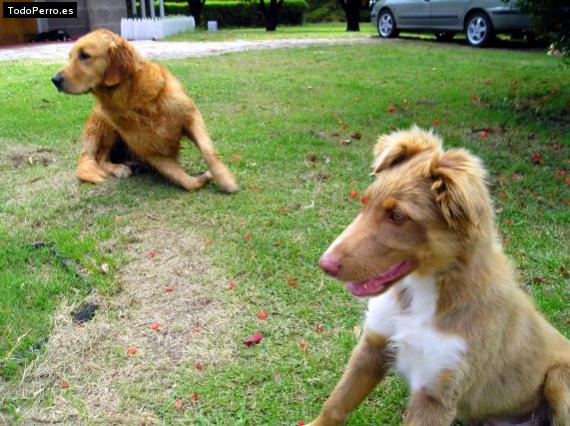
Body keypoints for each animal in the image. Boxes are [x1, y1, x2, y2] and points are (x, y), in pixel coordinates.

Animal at [51, 27, 237, 191]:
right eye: (70, 57)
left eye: (84, 55)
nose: (54, 80)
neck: (134, 99)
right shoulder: (150, 152)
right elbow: (185, 181)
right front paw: (203, 178)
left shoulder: (190, 117)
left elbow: (208, 151)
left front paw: (225, 179)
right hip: (107, 125)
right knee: (100, 158)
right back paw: (121, 168)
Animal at [310, 126, 568, 426]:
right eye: (364, 202)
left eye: (397, 216)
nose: (324, 264)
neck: (419, 296)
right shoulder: (372, 347)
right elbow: (336, 403)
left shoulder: (436, 391)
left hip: (559, 378)